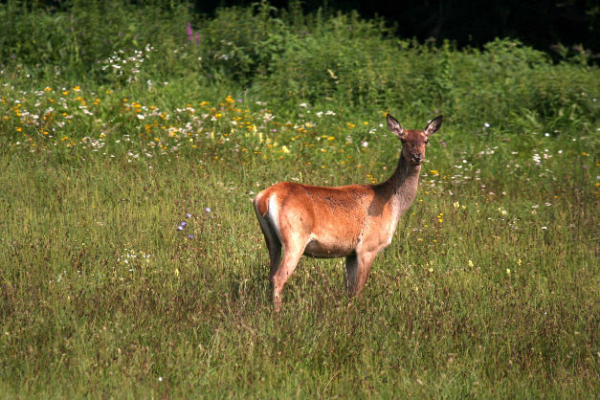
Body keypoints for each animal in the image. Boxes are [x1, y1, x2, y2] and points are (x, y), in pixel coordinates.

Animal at [251, 114, 442, 310]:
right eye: (403, 139)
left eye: (426, 140)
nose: (417, 156)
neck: (392, 203)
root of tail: (264, 197)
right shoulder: (368, 246)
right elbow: (358, 289)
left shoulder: (351, 252)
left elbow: (349, 290)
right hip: (295, 237)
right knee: (278, 278)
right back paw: (278, 312)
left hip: (271, 239)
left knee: (271, 274)